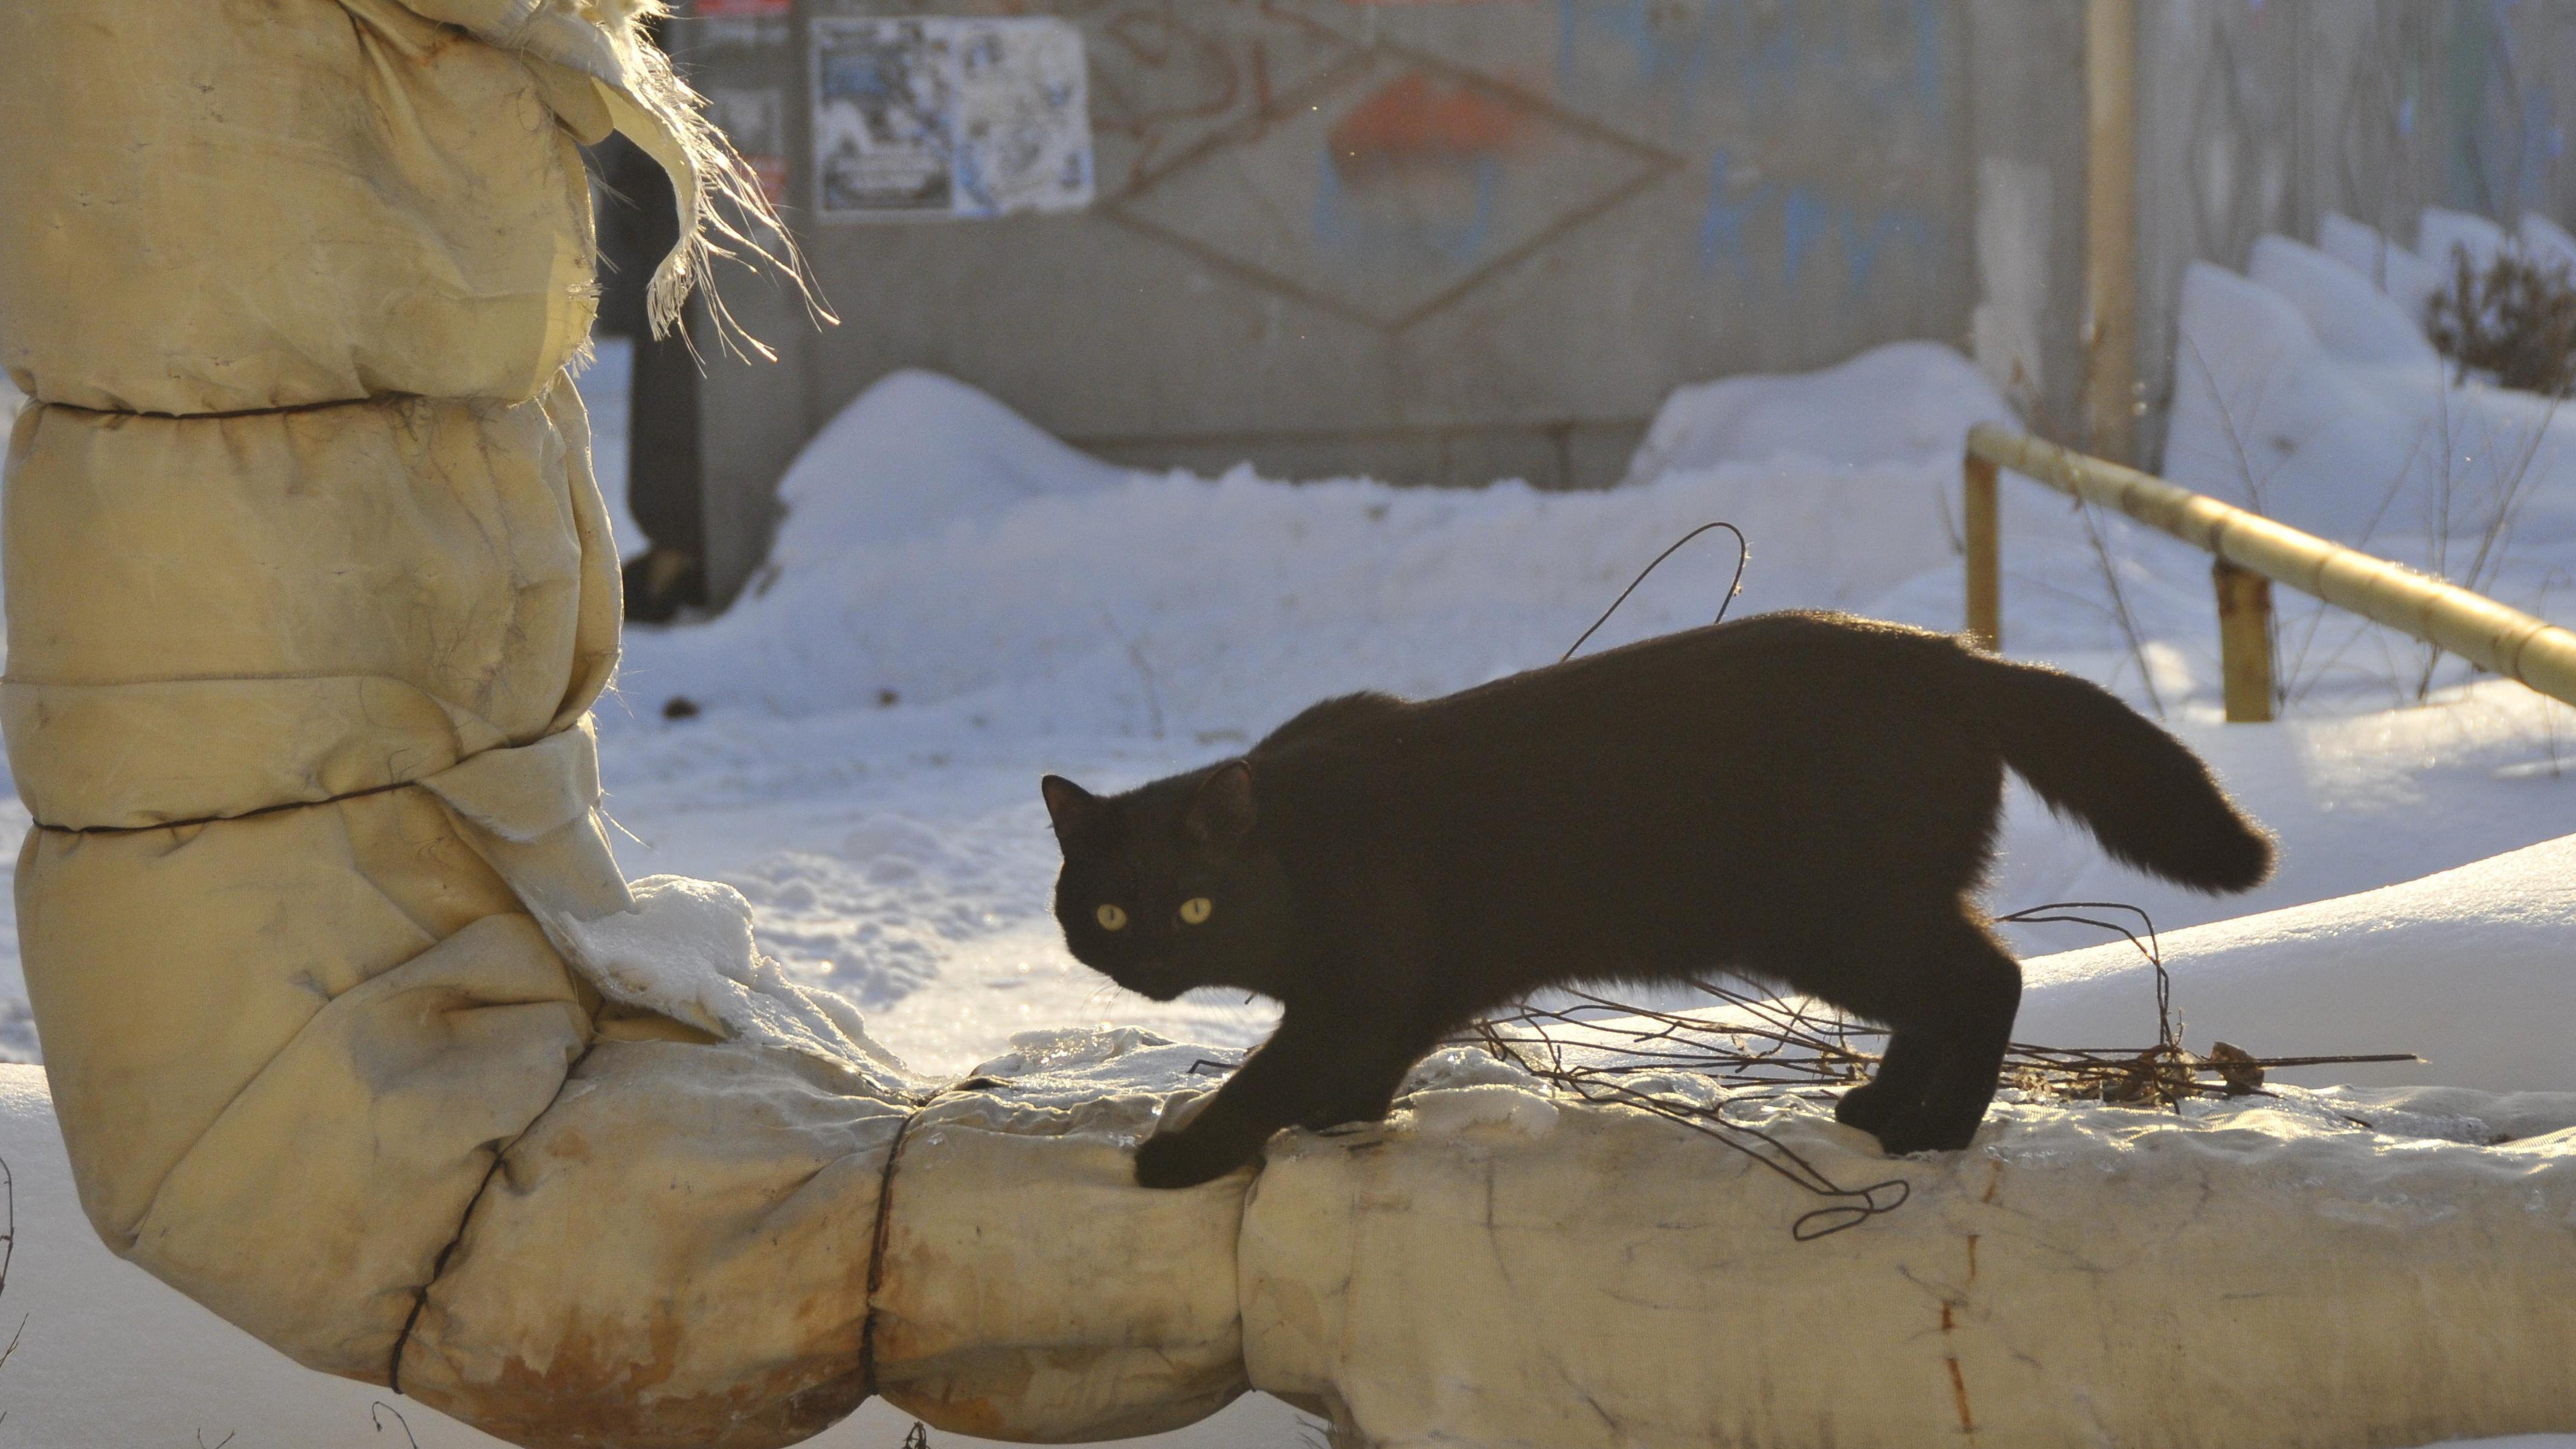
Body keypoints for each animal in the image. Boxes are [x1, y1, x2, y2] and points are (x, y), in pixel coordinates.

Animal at [1035, 608, 2267, 1186]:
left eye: (1195, 902)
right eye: (1110, 911)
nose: (1151, 962)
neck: (1297, 840)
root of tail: (1956, 655)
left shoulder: (1362, 980)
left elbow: (1269, 1072)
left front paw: (1181, 1154)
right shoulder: (1414, 988)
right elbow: (1356, 1069)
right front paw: (1344, 1119)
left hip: (1840, 916)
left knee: (1989, 977)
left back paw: (1935, 1134)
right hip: (1877, 911)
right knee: (1953, 988)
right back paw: (1879, 1109)